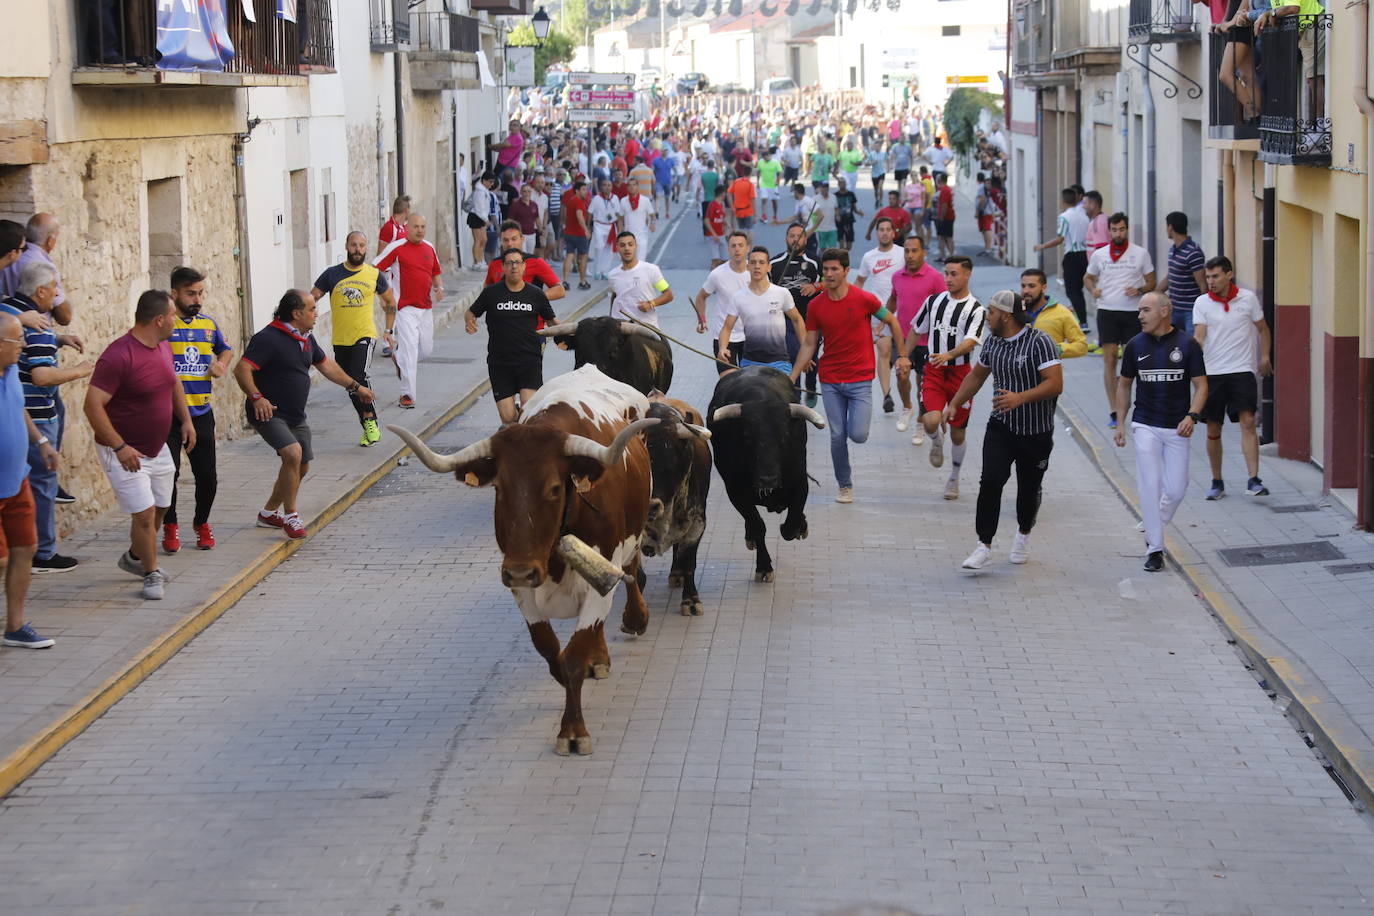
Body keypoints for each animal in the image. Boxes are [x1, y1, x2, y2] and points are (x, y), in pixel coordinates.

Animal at [392, 365, 659, 758]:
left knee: (631, 569)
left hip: (631, 537)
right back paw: (599, 658)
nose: (519, 570)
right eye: (499, 488)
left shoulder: (599, 580)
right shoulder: (523, 590)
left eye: (554, 488)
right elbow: (551, 651)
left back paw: (635, 619)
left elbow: (574, 655)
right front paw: (570, 683)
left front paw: (573, 731)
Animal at [703, 365, 818, 579]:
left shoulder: (800, 483)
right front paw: (764, 567)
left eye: (784, 436)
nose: (768, 479)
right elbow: (758, 525)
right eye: (747, 436)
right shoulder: (736, 493)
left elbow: (791, 524)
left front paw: (799, 527)